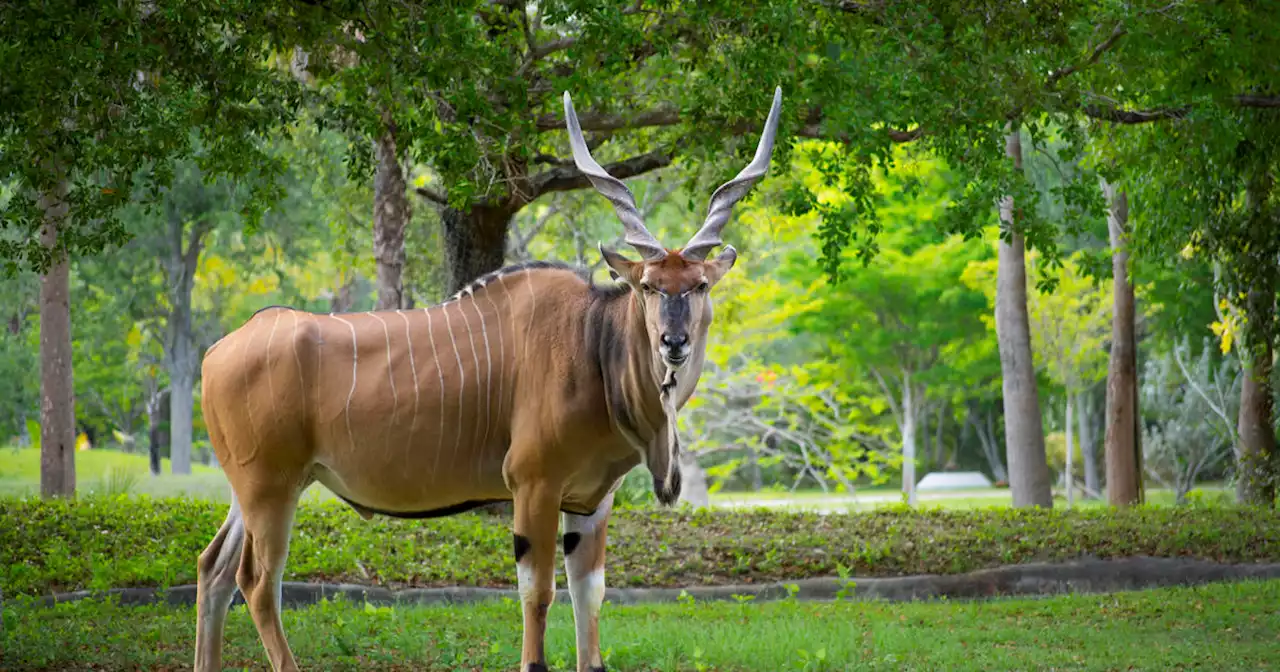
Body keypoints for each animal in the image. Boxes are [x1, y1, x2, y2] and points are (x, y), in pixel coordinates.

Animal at [194, 86, 783, 665]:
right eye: (648, 286)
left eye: (700, 285)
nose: (674, 343)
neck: (592, 344)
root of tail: (217, 350)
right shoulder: (533, 484)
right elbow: (537, 592)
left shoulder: (592, 502)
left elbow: (589, 596)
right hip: (271, 489)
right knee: (256, 582)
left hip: (253, 490)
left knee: (213, 568)